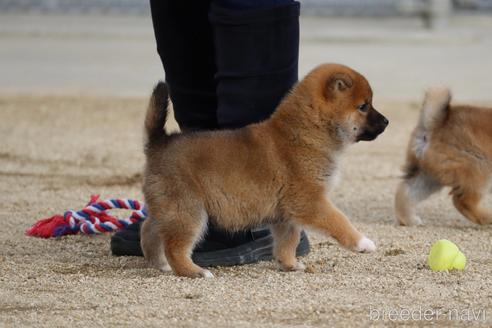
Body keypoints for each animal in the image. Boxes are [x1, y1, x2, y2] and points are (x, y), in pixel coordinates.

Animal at [141, 63, 388, 276]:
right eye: (364, 106)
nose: (386, 122)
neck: (307, 132)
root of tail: (159, 143)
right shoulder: (310, 201)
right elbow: (339, 220)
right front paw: (362, 242)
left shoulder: (286, 214)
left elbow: (288, 242)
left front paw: (290, 264)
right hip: (188, 210)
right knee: (174, 247)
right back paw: (194, 271)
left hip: (169, 208)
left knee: (148, 229)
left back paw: (160, 264)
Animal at [396, 86, 492, 227]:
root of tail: (435, 124)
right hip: (479, 169)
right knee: (463, 202)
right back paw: (488, 217)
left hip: (429, 176)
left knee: (406, 192)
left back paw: (410, 220)